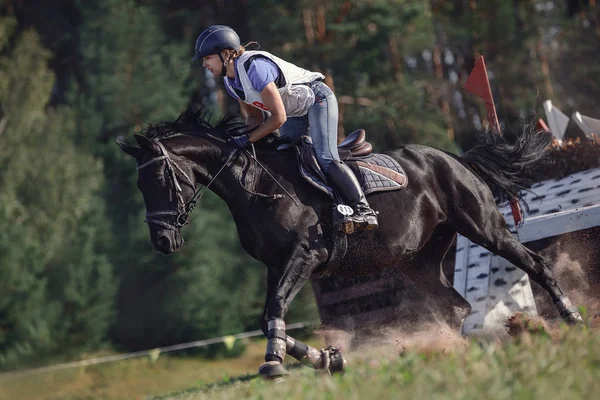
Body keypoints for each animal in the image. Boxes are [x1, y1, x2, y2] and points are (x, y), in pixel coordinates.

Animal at [117, 108, 580, 378]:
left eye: (160, 178)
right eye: (138, 184)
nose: (162, 240)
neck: (258, 185)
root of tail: (455, 159)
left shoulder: (304, 255)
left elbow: (274, 309)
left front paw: (274, 363)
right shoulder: (276, 264)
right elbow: (270, 314)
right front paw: (327, 358)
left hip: (484, 227)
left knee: (535, 264)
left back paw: (573, 320)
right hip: (419, 260)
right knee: (455, 306)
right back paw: (448, 351)